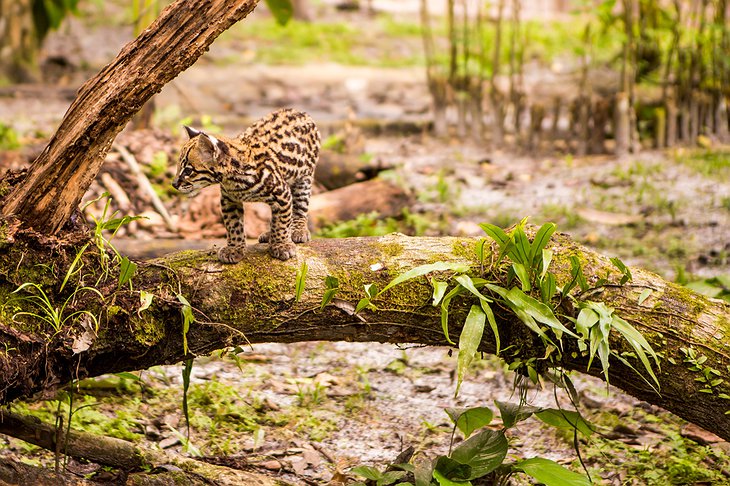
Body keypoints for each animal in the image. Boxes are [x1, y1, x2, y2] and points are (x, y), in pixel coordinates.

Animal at [172, 108, 320, 264]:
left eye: (188, 170)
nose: (174, 184)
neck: (233, 179)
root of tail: (299, 111)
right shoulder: (229, 201)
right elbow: (233, 225)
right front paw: (234, 249)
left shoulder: (282, 193)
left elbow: (282, 222)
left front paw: (281, 245)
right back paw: (269, 234)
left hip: (304, 179)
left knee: (300, 207)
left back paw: (298, 230)